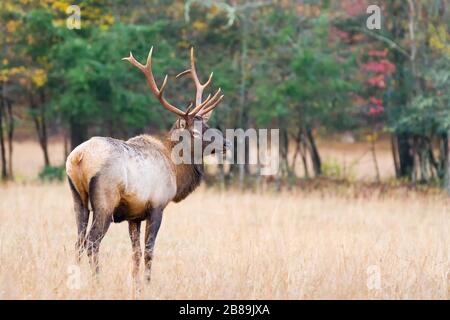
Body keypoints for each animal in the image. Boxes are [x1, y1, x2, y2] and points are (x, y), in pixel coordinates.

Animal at [66, 46, 229, 282]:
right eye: (197, 131)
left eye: (208, 124)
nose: (226, 143)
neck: (175, 170)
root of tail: (79, 157)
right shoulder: (157, 206)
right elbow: (150, 250)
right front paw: (148, 282)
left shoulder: (134, 215)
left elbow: (135, 253)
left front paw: (136, 283)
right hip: (105, 201)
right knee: (92, 242)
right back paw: (97, 279)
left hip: (77, 198)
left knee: (78, 241)